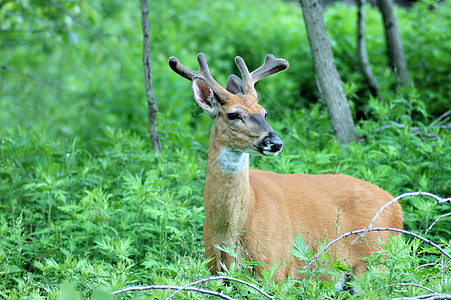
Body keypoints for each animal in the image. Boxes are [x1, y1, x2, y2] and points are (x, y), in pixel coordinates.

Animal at [168, 52, 404, 292]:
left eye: (264, 112)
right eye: (233, 115)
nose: (275, 142)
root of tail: (396, 207)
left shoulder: (276, 270)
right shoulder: (214, 272)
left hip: (376, 264)